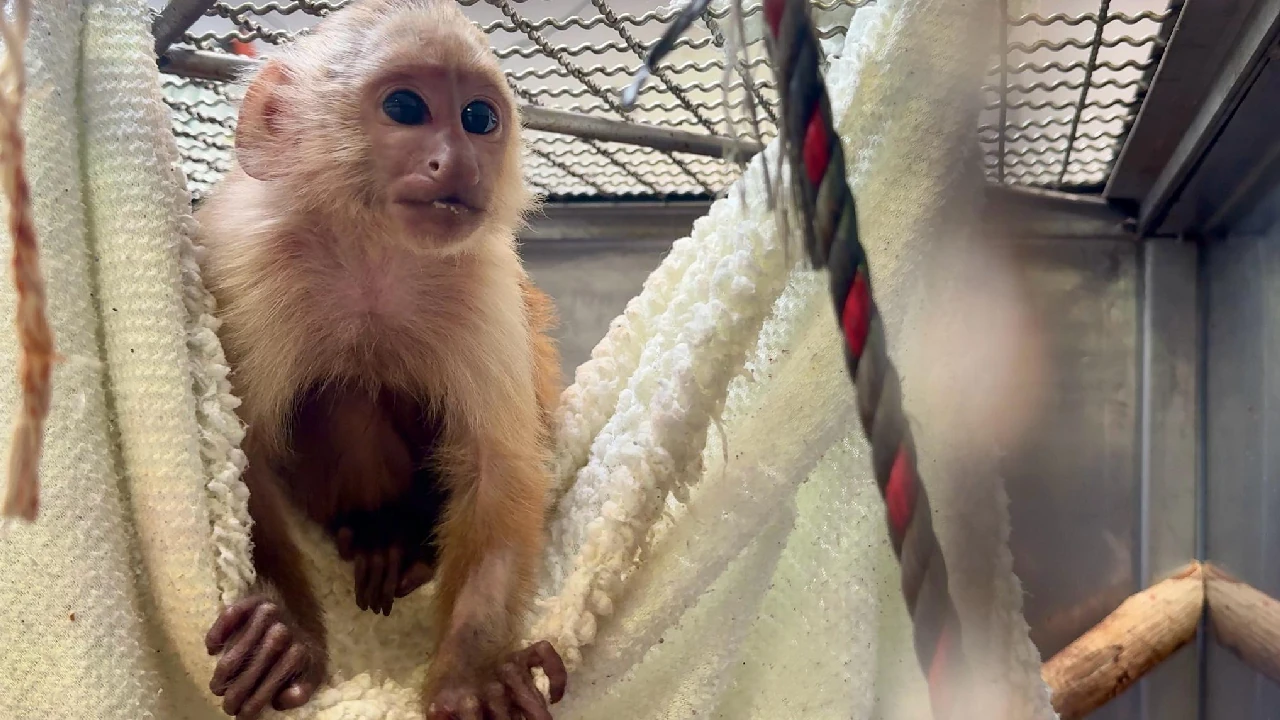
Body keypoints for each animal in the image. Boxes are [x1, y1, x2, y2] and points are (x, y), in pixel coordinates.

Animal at [192, 1, 570, 718]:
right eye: (405, 107)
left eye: (479, 118)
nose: (458, 163)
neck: (372, 249)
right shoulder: (243, 261)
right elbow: (242, 456)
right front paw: (284, 640)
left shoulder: (480, 278)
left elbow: (500, 470)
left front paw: (473, 677)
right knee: (344, 391)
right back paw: (379, 534)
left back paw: (406, 545)